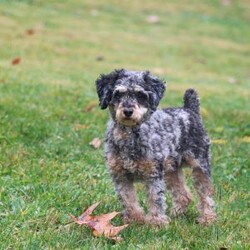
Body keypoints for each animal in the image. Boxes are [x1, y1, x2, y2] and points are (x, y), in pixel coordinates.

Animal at [95, 69, 217, 227]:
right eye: (118, 94)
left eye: (140, 95)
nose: (128, 111)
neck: (129, 137)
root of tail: (190, 109)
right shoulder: (120, 175)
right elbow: (128, 200)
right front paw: (134, 220)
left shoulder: (152, 173)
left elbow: (155, 199)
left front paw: (156, 223)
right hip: (171, 170)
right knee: (184, 195)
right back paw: (176, 213)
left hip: (200, 165)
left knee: (205, 195)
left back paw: (207, 218)